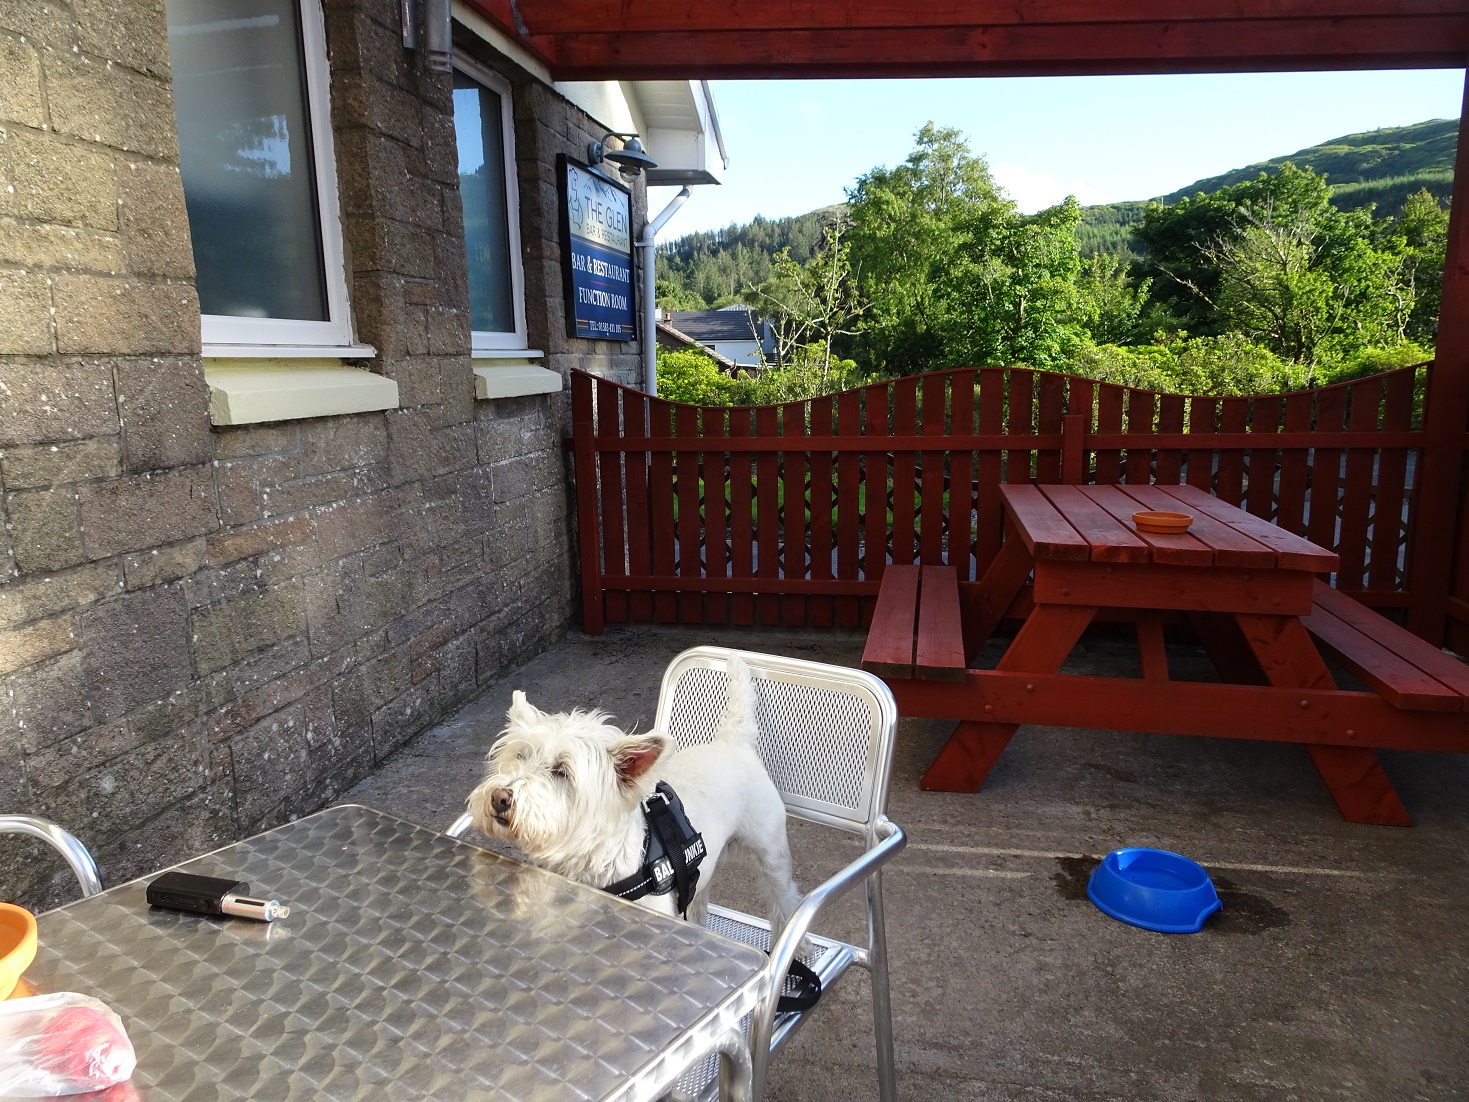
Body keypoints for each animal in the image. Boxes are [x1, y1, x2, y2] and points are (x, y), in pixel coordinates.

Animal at [467, 655, 805, 940]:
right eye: (520, 756)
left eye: (561, 771)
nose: (500, 797)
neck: (593, 861)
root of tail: (732, 742)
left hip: (769, 848)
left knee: (784, 898)